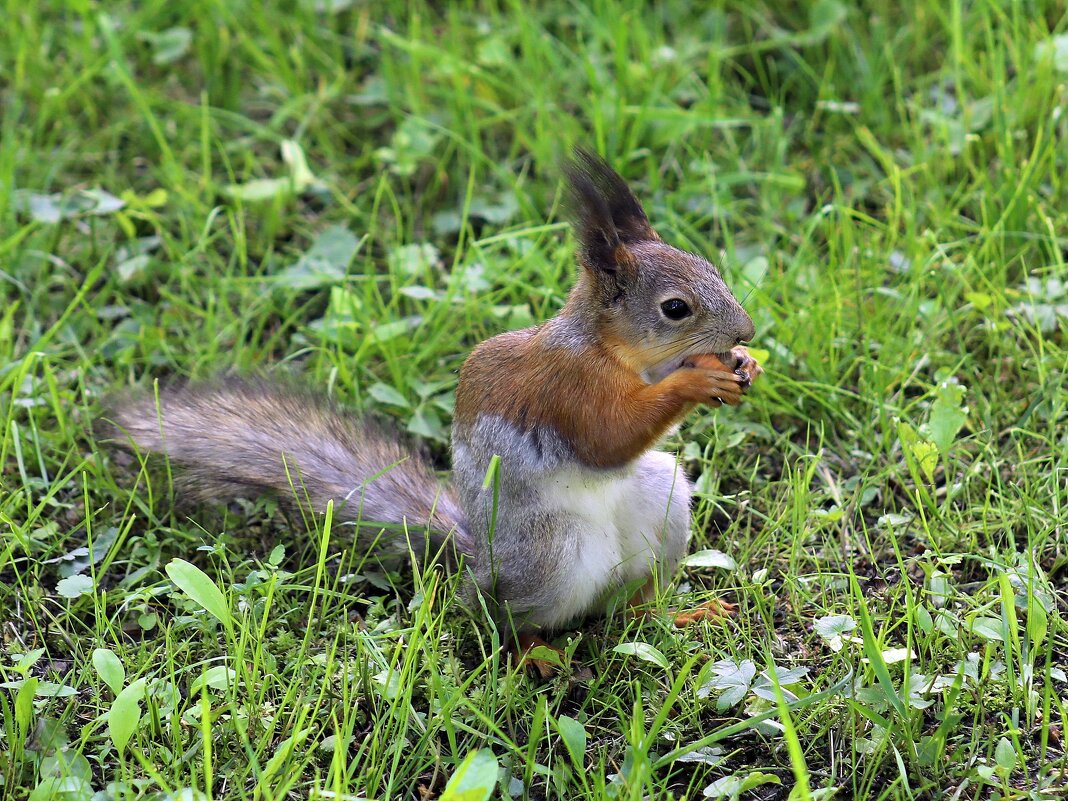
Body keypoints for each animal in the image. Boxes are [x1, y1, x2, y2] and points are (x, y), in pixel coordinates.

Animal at [106, 150, 760, 679]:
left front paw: (742, 365)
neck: (610, 350)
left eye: (711, 267)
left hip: (660, 502)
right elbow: (606, 437)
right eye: (675, 309)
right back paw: (533, 654)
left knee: (630, 608)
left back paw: (682, 615)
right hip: (550, 552)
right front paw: (697, 377)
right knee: (497, 618)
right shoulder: (565, 391)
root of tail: (479, 559)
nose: (747, 331)